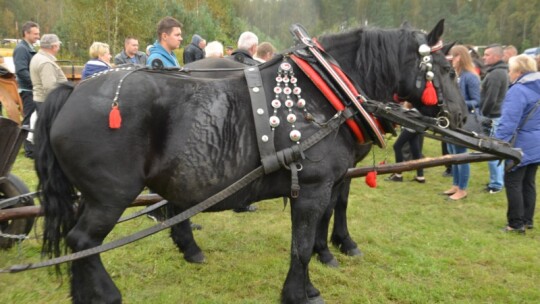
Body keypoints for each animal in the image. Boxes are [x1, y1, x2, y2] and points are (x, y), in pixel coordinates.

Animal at [34, 20, 464, 302]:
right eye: (445, 69)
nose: (461, 117)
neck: (325, 93)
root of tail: (70, 92)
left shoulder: (327, 182)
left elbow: (319, 226)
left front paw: (323, 262)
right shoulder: (312, 188)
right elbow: (301, 244)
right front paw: (300, 291)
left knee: (80, 244)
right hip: (111, 196)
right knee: (83, 240)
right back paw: (107, 294)